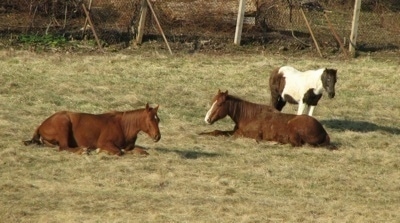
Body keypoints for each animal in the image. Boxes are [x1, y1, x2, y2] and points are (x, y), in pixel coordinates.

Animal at [23, 103, 160, 154]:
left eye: (158, 119)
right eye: (150, 120)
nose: (157, 136)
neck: (123, 126)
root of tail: (41, 125)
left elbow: (141, 151)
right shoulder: (104, 143)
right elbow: (119, 151)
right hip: (64, 125)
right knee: (64, 147)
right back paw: (84, 150)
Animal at [200, 89, 332, 147]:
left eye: (220, 104)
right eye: (213, 101)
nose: (207, 119)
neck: (249, 117)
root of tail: (324, 132)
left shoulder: (241, 133)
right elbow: (217, 131)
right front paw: (202, 133)